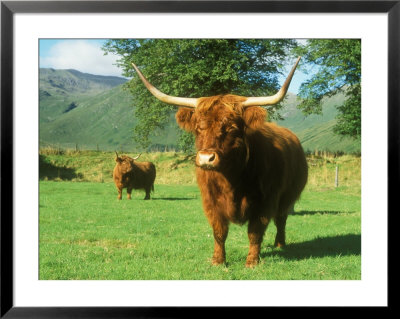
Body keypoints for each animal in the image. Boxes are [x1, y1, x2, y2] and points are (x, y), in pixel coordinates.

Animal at [133, 57, 308, 268]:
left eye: (232, 128)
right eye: (198, 128)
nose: (206, 158)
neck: (232, 180)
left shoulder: (265, 202)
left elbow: (255, 232)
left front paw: (252, 262)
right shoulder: (211, 201)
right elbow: (219, 232)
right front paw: (218, 260)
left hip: (287, 197)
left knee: (281, 220)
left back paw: (280, 243)